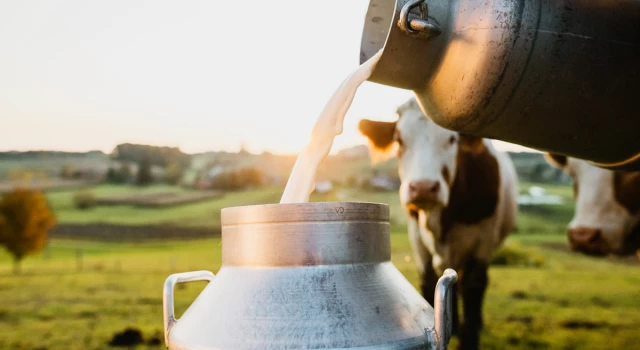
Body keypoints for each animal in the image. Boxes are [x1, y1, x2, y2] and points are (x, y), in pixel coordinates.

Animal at [358, 98, 516, 350]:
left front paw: (469, 336)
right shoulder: (417, 240)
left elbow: (473, 287)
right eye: (399, 139)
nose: (423, 188)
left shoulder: (483, 241)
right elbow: (428, 281)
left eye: (452, 140)